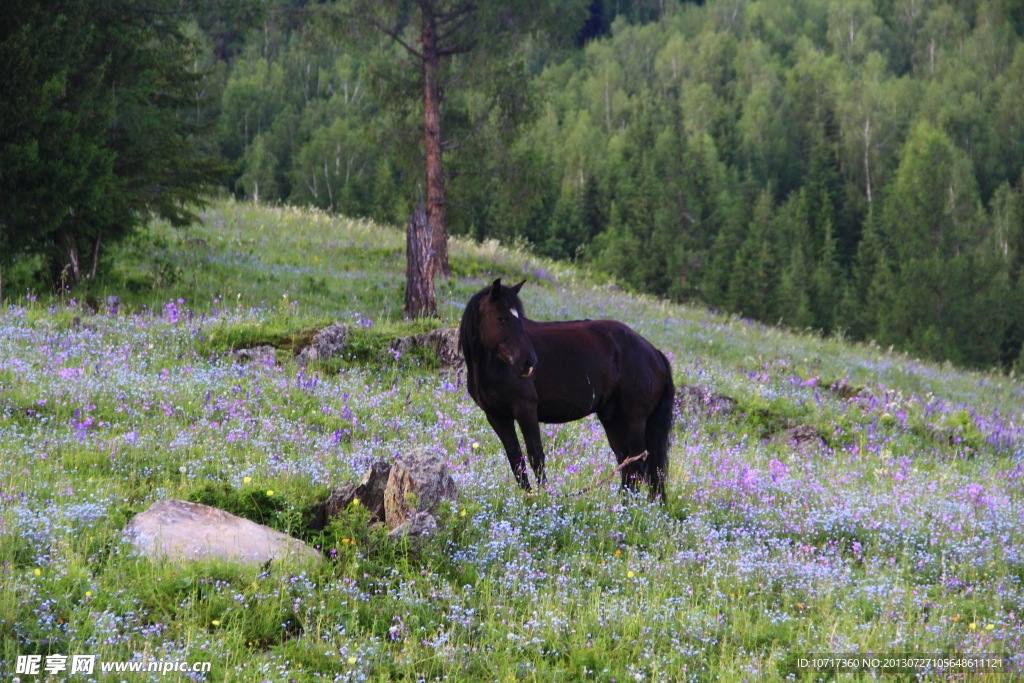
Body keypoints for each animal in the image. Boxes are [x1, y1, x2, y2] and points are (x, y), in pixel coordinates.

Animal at [460, 278, 675, 501]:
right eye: (501, 318)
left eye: (520, 319)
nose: (529, 363)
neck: (494, 365)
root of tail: (654, 352)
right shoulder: (497, 417)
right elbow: (516, 461)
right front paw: (527, 500)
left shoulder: (526, 410)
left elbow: (536, 457)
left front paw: (543, 500)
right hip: (613, 418)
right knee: (626, 463)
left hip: (635, 419)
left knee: (637, 465)